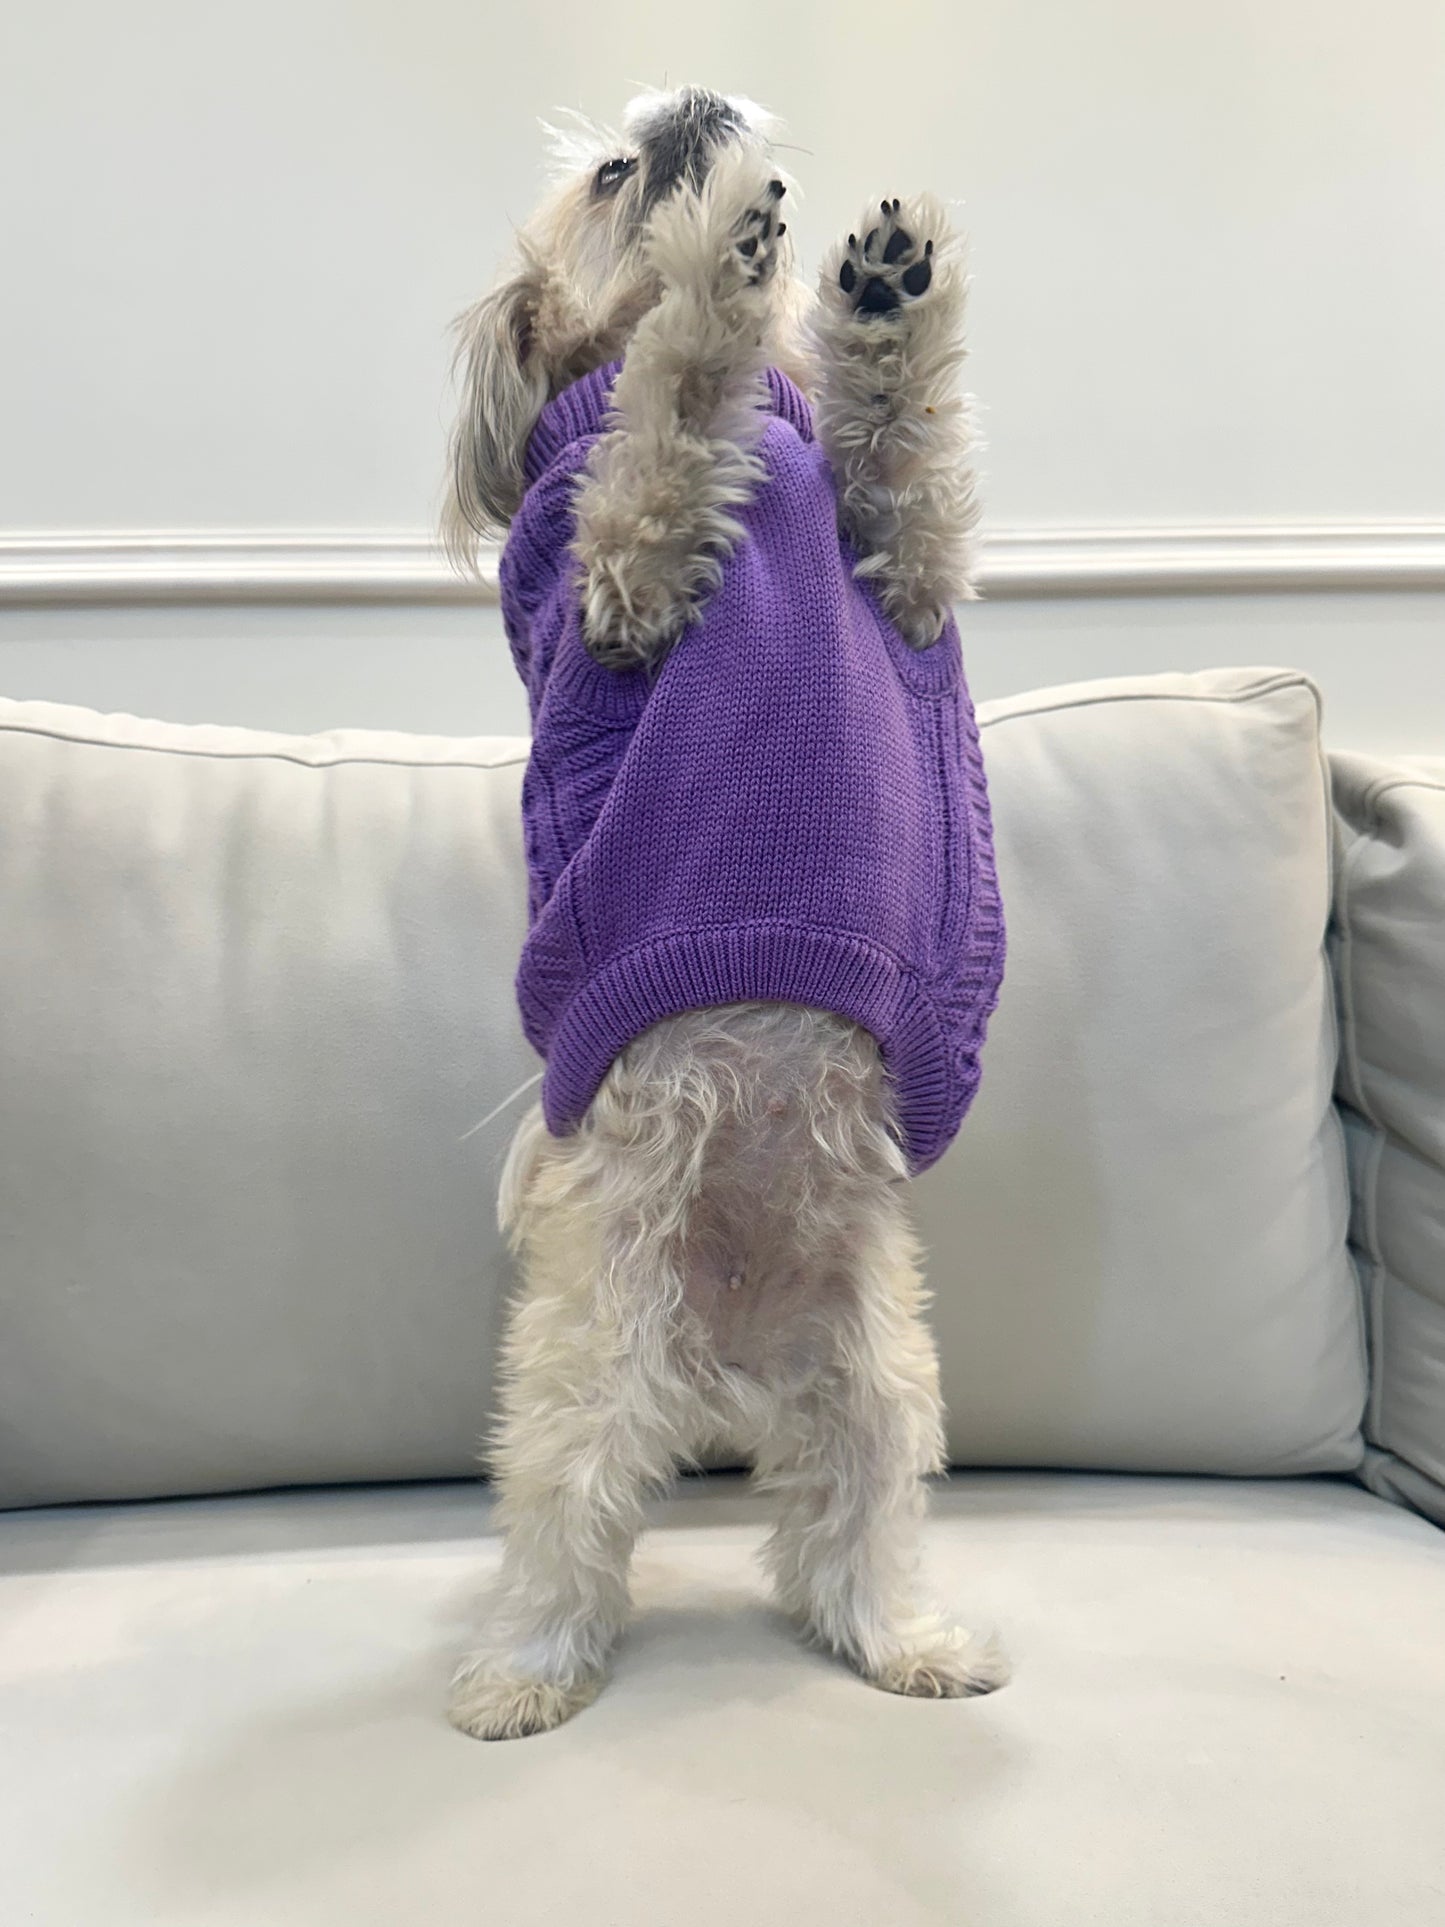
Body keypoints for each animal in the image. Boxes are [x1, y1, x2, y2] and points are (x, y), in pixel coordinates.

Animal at [441, 82, 1009, 1742]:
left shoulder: (904, 575)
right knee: (567, 1525)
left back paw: (907, 1640)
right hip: (584, 1363)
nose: (691, 105)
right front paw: (719, 268)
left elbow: (904, 457)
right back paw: (520, 1672)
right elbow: (672, 397)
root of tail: (724, 1343)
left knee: (846, 1535)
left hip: (878, 1380)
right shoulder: (618, 575)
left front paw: (885, 292)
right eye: (612, 173)